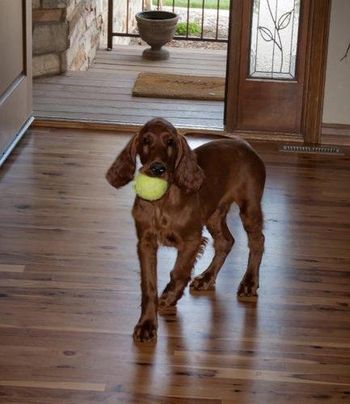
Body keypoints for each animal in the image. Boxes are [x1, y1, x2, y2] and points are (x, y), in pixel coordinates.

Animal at [106, 117, 266, 340]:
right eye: (146, 140)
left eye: (170, 142)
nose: (157, 169)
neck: (162, 202)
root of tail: (244, 144)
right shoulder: (146, 242)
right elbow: (148, 285)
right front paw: (147, 324)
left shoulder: (191, 239)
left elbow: (179, 272)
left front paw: (169, 297)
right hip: (214, 214)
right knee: (226, 241)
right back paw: (206, 278)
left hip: (249, 207)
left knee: (257, 241)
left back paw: (249, 283)